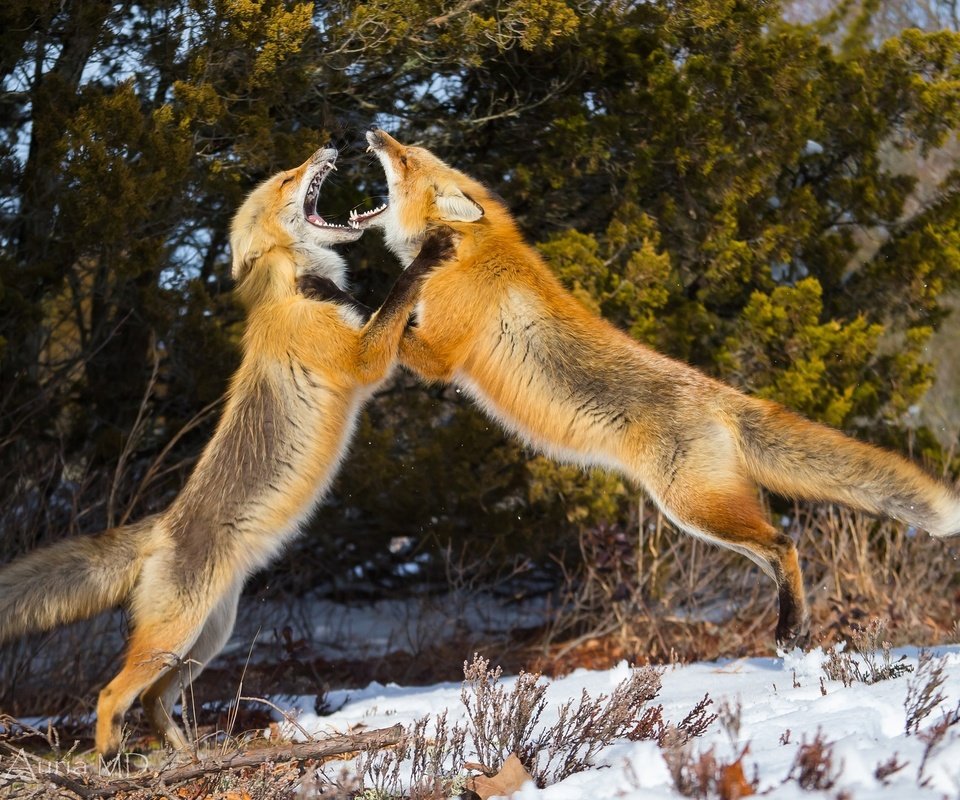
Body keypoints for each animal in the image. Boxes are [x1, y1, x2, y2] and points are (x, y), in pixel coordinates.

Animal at [0, 145, 454, 756]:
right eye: (287, 179)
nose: (326, 147)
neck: (295, 288)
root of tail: (161, 526)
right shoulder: (361, 363)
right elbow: (398, 293)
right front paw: (429, 253)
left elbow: (396, 316)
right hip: (174, 638)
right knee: (110, 695)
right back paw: (109, 759)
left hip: (206, 641)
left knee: (154, 702)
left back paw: (182, 754)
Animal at [344, 125, 960, 648]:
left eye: (404, 159)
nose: (375, 130)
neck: (470, 250)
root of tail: (720, 394)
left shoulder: (440, 354)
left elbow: (384, 316)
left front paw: (344, 307)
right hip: (705, 514)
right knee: (771, 551)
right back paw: (794, 623)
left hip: (691, 506)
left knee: (783, 543)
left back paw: (791, 628)